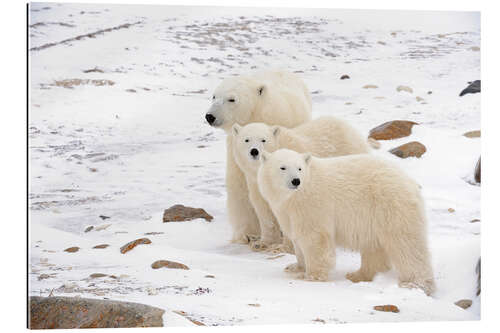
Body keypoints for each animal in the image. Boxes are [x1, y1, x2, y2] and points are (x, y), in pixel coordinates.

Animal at [205, 70, 310, 241]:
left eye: (231, 99)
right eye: (214, 96)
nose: (210, 116)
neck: (258, 116)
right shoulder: (236, 147)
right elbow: (240, 185)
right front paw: (246, 233)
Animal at [258, 149, 434, 294]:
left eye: (299, 168)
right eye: (282, 167)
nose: (296, 181)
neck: (295, 195)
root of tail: (410, 181)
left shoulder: (313, 205)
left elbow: (314, 238)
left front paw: (312, 276)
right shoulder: (287, 211)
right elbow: (297, 238)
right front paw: (294, 267)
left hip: (391, 204)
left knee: (406, 244)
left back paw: (414, 283)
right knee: (374, 247)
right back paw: (358, 274)